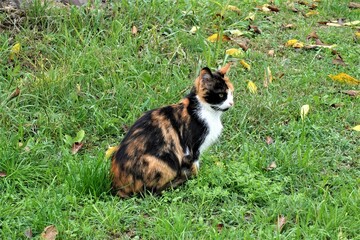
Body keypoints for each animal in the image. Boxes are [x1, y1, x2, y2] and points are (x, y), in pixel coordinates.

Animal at [109, 62, 233, 198]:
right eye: (221, 95)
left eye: (231, 93)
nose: (231, 103)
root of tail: (117, 187)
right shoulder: (193, 147)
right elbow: (195, 165)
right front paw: (197, 179)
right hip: (163, 160)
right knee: (151, 192)